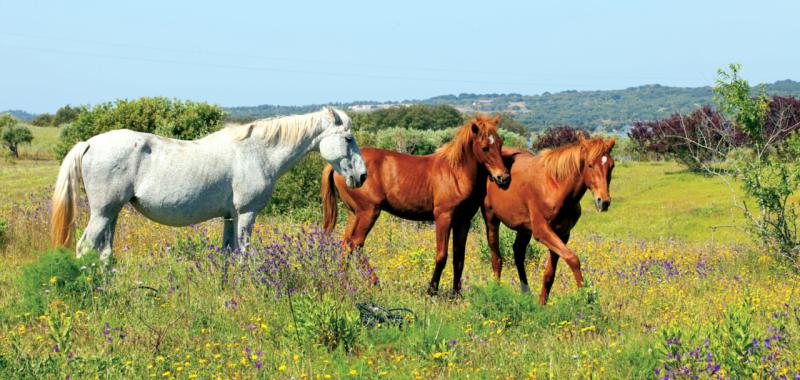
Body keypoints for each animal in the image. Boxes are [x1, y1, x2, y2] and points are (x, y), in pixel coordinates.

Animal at [48, 107, 364, 262]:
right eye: (348, 138)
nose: (362, 176)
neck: (256, 152)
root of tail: (89, 143)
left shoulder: (230, 216)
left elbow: (227, 253)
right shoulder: (246, 214)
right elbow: (243, 253)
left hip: (111, 214)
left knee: (104, 253)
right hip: (102, 213)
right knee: (84, 248)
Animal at [322, 115, 510, 294]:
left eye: (500, 143)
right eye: (484, 147)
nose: (504, 177)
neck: (455, 172)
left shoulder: (463, 221)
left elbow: (459, 259)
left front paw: (457, 294)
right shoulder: (443, 217)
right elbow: (441, 256)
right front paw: (431, 291)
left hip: (354, 214)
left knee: (346, 245)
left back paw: (343, 281)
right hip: (369, 212)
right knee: (356, 244)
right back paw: (375, 283)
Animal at [482, 137, 620, 306]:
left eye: (611, 166)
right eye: (590, 165)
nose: (604, 202)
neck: (554, 186)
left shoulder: (562, 234)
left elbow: (550, 273)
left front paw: (542, 303)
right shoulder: (542, 232)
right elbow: (573, 259)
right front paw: (586, 296)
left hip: (524, 229)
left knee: (518, 252)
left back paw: (526, 293)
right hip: (491, 218)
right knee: (496, 256)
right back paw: (496, 290)